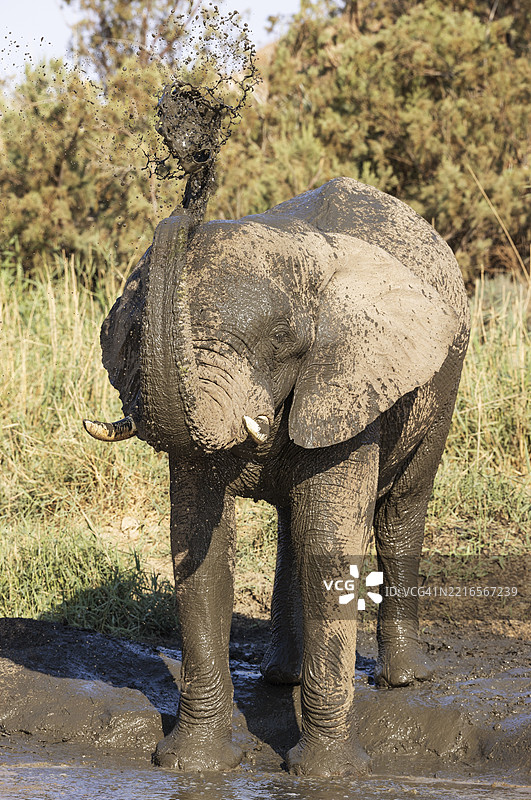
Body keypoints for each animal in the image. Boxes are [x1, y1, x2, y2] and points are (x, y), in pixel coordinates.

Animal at [84, 177, 470, 776]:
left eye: (284, 339)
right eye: (138, 329)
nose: (190, 202)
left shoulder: (349, 386)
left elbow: (331, 551)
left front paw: (327, 775)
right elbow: (199, 553)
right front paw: (194, 765)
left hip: (443, 384)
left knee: (402, 510)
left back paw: (404, 679)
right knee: (294, 528)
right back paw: (279, 675)